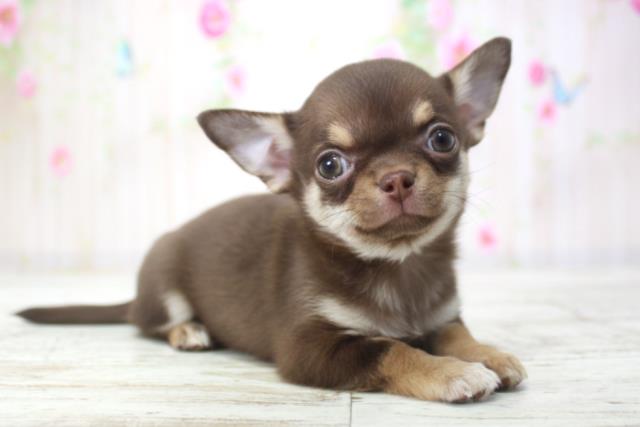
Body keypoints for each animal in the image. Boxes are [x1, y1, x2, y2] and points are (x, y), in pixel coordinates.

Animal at [18, 37, 526, 403]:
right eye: (330, 165)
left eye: (442, 139)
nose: (396, 178)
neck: (398, 266)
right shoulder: (309, 347)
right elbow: (392, 349)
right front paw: (454, 373)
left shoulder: (442, 317)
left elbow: (457, 333)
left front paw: (488, 354)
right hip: (164, 286)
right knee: (154, 322)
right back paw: (189, 331)